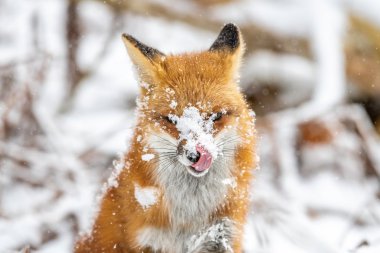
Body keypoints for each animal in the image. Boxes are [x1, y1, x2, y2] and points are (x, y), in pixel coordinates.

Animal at [75, 23, 255, 253]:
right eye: (171, 119)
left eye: (216, 116)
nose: (196, 154)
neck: (188, 219)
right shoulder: (148, 240)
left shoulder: (222, 236)